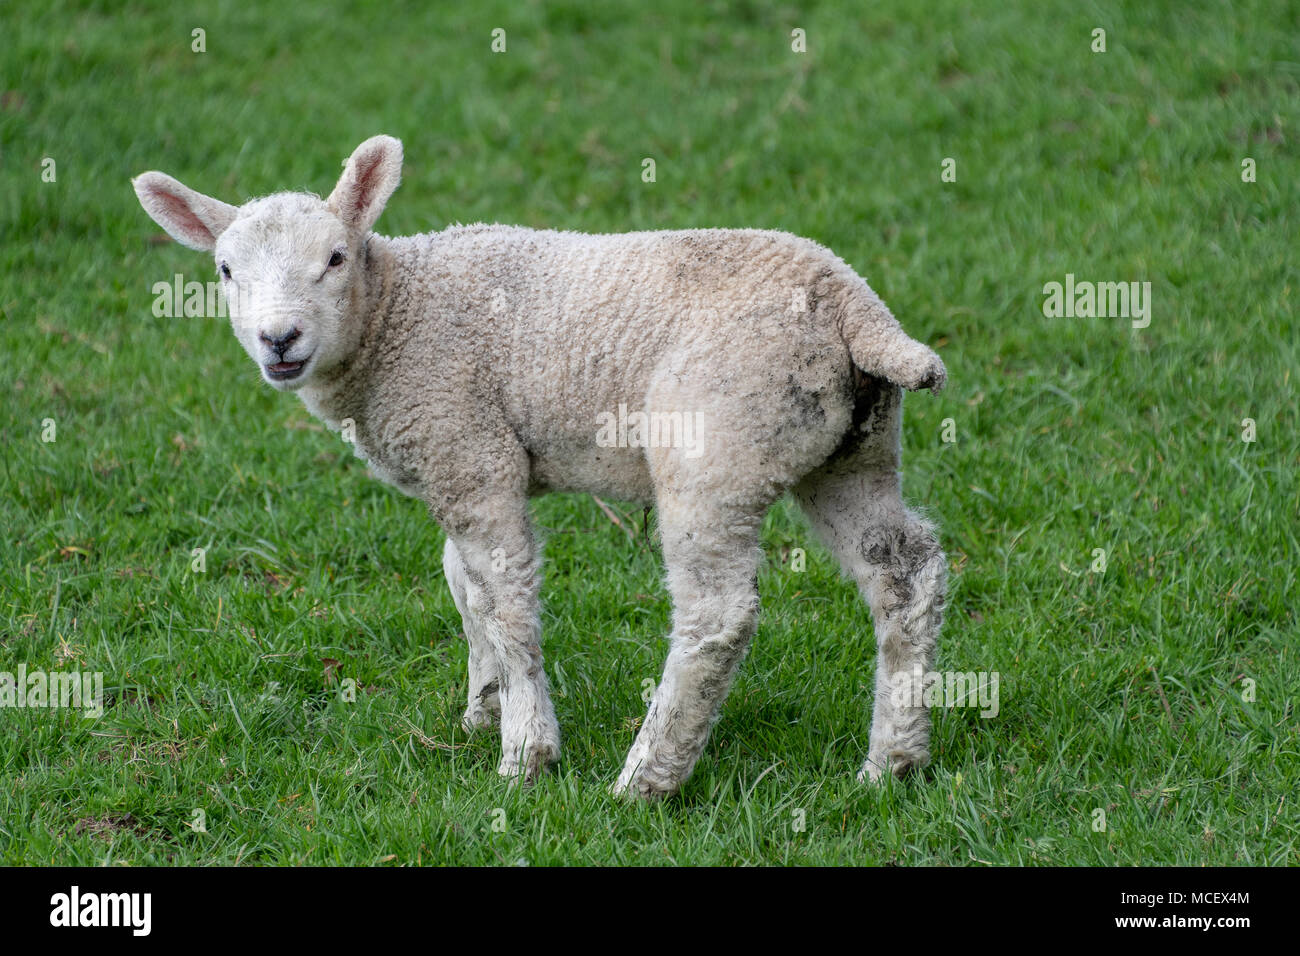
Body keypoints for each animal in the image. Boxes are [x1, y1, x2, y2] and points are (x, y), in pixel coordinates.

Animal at [132, 135, 950, 799]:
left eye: (334, 258)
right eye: (226, 270)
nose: (280, 339)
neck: (396, 316)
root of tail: (852, 307)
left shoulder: (468, 448)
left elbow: (505, 601)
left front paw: (525, 752)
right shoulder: (458, 462)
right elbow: (462, 582)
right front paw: (481, 706)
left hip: (717, 446)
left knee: (717, 615)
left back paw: (646, 777)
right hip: (851, 449)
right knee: (904, 571)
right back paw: (893, 763)